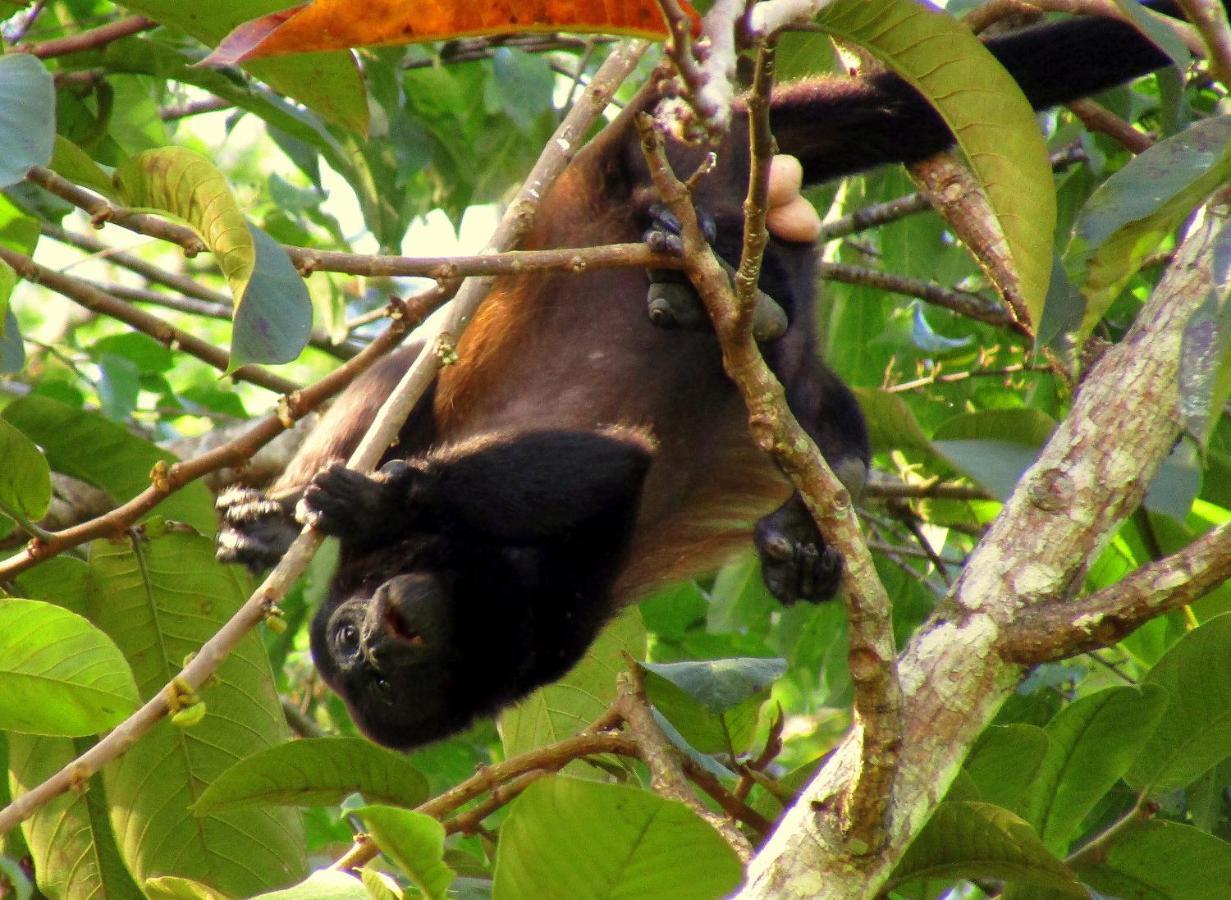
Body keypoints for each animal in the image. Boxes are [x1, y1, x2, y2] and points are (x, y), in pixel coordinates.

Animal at [219, 3, 1201, 748]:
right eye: (375, 679)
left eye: (355, 644)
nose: (375, 650)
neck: (482, 591)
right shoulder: (551, 629)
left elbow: (599, 463)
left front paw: (366, 501)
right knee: (814, 395)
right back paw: (801, 474)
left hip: (645, 158)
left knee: (415, 363)